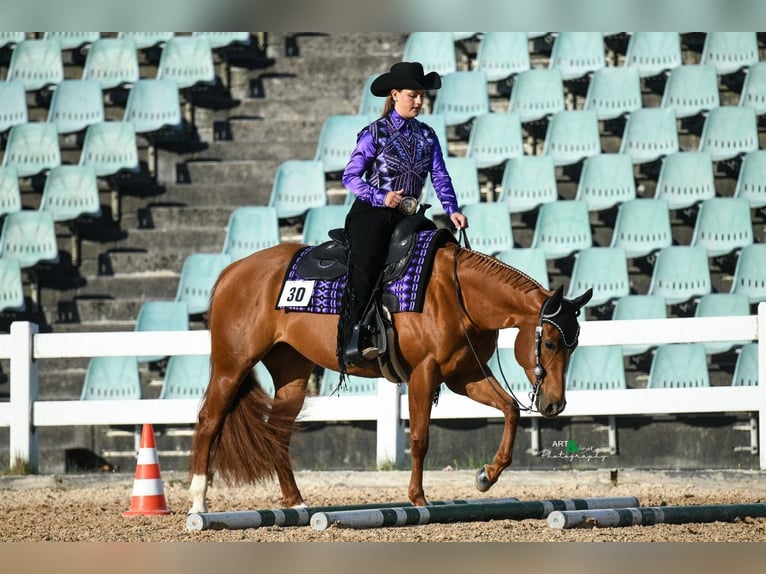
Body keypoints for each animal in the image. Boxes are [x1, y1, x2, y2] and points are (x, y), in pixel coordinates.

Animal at [188, 239, 592, 513]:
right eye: (551, 342)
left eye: (574, 344)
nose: (555, 404)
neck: (455, 295)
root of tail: (232, 272)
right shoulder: (424, 375)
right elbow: (420, 438)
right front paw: (418, 497)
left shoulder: (465, 376)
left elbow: (510, 409)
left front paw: (486, 477)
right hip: (232, 365)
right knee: (209, 420)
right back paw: (198, 503)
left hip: (292, 372)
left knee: (279, 431)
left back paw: (294, 500)